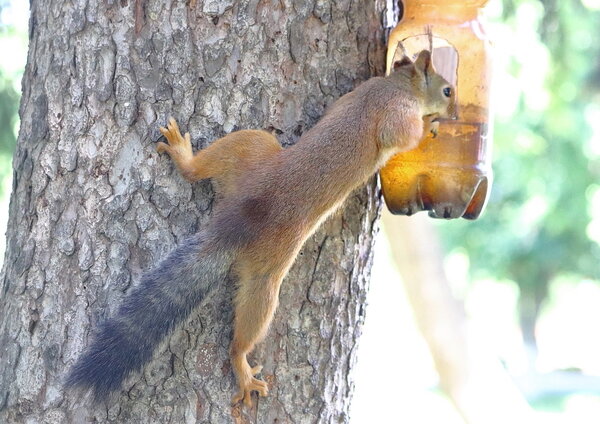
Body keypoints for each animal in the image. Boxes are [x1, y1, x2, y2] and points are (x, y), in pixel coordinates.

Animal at [65, 48, 458, 406]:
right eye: (448, 90)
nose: (454, 114)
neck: (396, 85)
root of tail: (235, 220)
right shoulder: (397, 112)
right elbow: (401, 136)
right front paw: (429, 128)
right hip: (269, 261)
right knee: (251, 318)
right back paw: (241, 363)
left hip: (246, 149)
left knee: (198, 171)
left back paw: (182, 155)